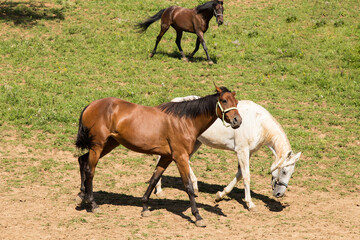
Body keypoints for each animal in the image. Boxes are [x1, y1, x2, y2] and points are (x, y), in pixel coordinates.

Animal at [74, 85, 240, 228]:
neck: (184, 121)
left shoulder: (167, 157)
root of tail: (91, 105)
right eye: (224, 100)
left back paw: (81, 195)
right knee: (90, 171)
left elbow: (154, 179)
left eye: (236, 102)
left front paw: (145, 207)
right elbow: (188, 186)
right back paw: (92, 204)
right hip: (98, 145)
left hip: (109, 143)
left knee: (82, 160)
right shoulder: (180, 158)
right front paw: (198, 216)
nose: (238, 120)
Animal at [155, 96, 300, 209]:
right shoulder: (242, 151)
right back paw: (159, 190)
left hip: (195, 142)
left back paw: (195, 186)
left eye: (291, 173)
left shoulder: (248, 152)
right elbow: (246, 176)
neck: (258, 123)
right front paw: (250, 203)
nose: (279, 194)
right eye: (284, 171)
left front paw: (220, 195)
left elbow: (240, 175)